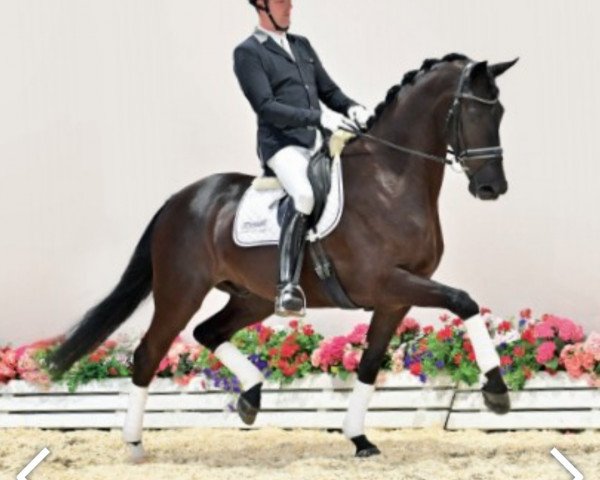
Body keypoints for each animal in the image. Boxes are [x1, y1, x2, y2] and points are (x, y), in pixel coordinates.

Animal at [48, 51, 516, 458]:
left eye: (500, 113)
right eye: (474, 112)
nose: (492, 187)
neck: (391, 179)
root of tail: (178, 201)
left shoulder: (394, 299)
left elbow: (369, 364)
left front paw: (359, 438)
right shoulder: (385, 281)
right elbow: (463, 300)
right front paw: (496, 390)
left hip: (251, 297)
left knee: (208, 332)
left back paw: (251, 397)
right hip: (180, 292)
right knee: (149, 353)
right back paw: (134, 444)